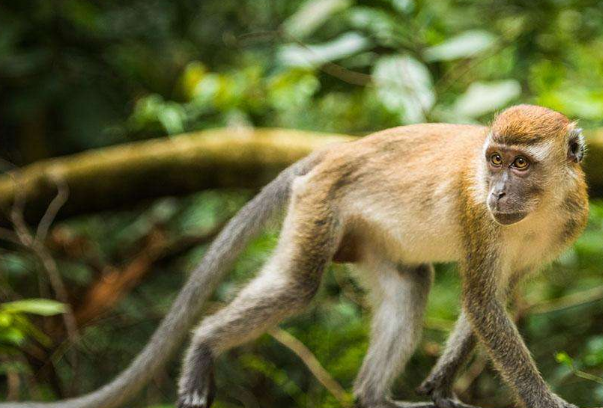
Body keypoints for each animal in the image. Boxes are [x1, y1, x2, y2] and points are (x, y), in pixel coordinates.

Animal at [0, 104, 584, 408]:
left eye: (521, 165)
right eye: (494, 159)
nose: (498, 192)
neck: (541, 207)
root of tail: (340, 151)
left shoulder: (567, 224)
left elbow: (492, 299)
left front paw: (440, 386)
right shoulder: (475, 213)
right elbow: (483, 302)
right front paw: (543, 400)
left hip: (364, 234)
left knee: (408, 283)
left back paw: (373, 397)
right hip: (321, 203)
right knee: (296, 287)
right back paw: (204, 346)